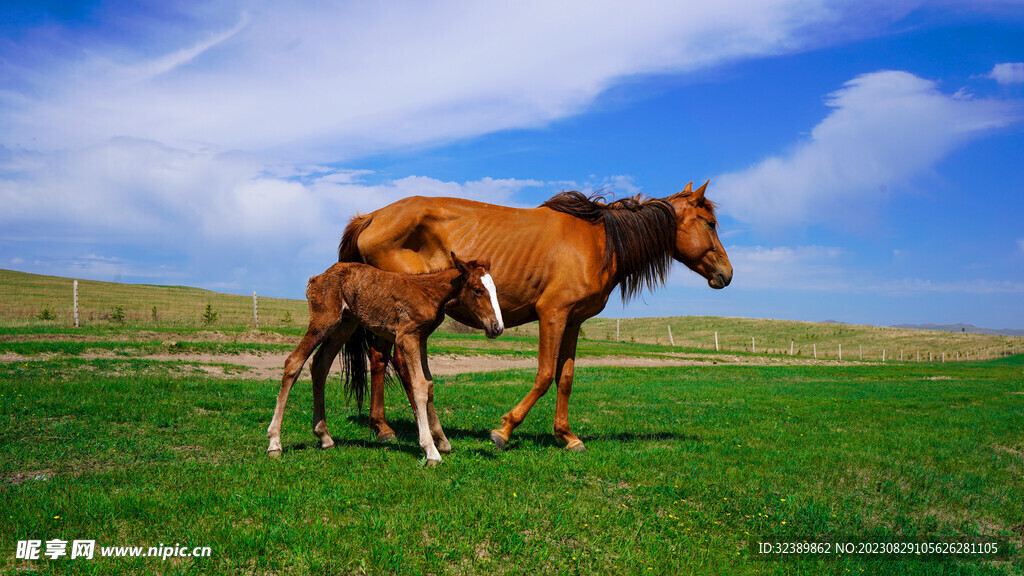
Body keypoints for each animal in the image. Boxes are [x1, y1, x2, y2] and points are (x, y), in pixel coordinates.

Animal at [266, 251, 501, 461]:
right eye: (478, 290)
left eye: (494, 289)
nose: (497, 327)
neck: (429, 293)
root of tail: (315, 279)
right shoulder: (407, 337)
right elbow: (419, 385)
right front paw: (430, 450)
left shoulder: (421, 338)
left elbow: (429, 384)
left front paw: (442, 441)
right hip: (323, 320)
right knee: (294, 362)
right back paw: (274, 443)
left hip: (344, 324)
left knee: (320, 364)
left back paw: (324, 436)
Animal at [335, 181, 729, 450]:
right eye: (710, 223)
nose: (727, 274)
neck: (597, 242)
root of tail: (372, 217)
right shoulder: (552, 315)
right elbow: (543, 375)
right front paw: (505, 429)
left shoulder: (574, 321)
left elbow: (565, 377)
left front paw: (567, 435)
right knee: (397, 364)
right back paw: (405, 429)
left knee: (380, 360)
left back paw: (384, 426)